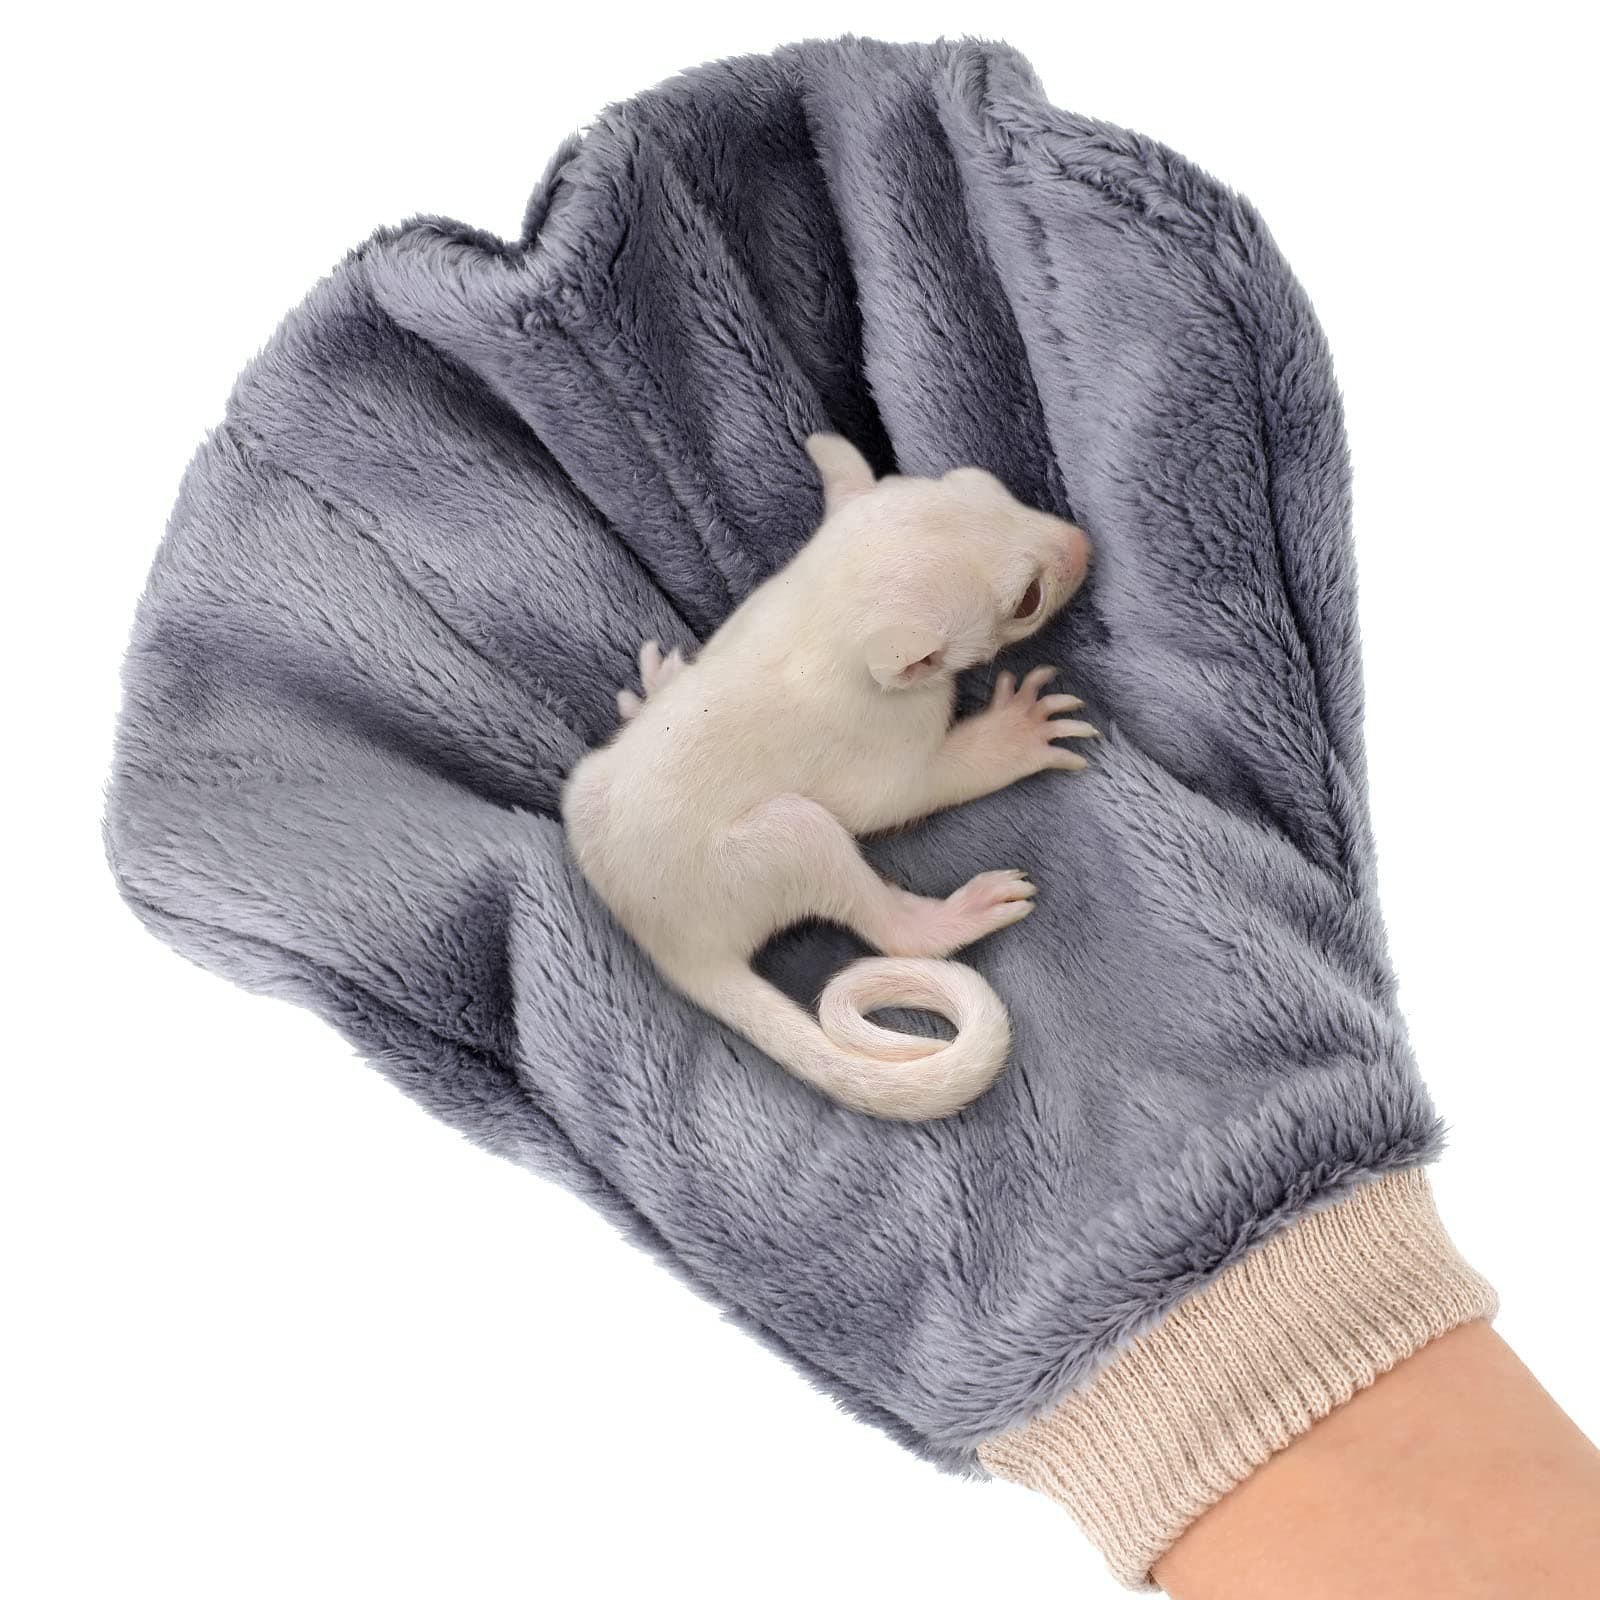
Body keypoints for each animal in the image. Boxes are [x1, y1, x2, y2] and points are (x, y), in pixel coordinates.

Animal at [561, 434, 1095, 1119]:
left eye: (988, 486)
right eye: (1027, 600)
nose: (1084, 544)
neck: (828, 611)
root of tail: (665, 942)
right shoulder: (880, 731)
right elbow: (904, 790)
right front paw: (1014, 735)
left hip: (588, 791)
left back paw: (652, 695)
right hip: (754, 859)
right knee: (839, 870)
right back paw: (945, 920)